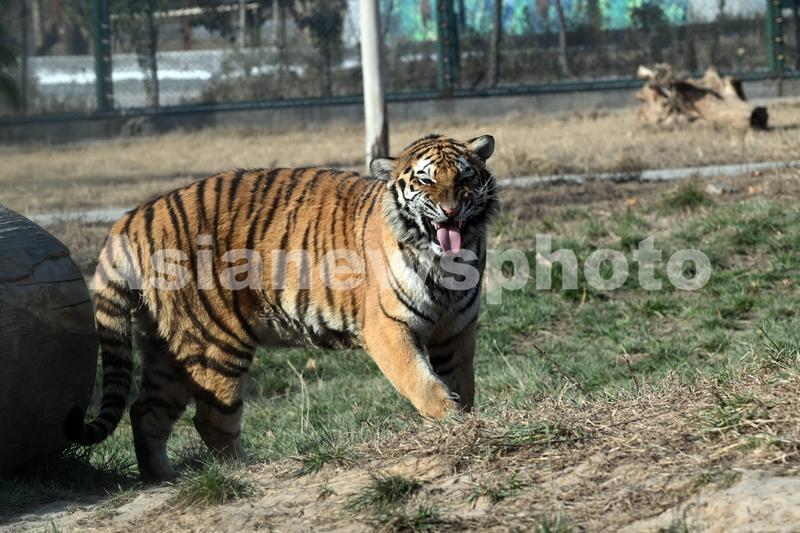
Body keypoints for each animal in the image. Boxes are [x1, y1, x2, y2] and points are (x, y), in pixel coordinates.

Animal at [65, 133, 498, 481]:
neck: (446, 262)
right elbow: (423, 382)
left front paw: (465, 421)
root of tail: (131, 217)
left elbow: (462, 382)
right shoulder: (388, 328)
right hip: (215, 341)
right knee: (211, 418)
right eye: (426, 180)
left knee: (145, 412)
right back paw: (243, 471)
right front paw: (452, 422)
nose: (451, 211)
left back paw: (162, 478)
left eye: (464, 178)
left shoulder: (456, 328)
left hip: (166, 347)